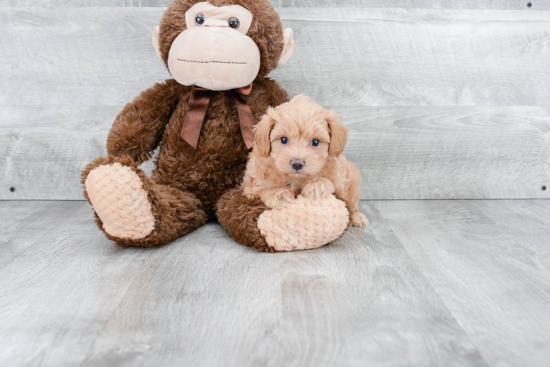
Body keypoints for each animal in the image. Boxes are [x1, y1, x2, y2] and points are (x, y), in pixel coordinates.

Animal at [243, 95, 368, 227]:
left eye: (315, 142)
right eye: (283, 140)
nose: (297, 164)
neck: (296, 179)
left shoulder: (339, 179)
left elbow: (331, 184)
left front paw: (316, 185)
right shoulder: (251, 184)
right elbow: (263, 189)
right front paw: (280, 194)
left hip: (351, 182)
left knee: (351, 202)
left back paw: (358, 216)